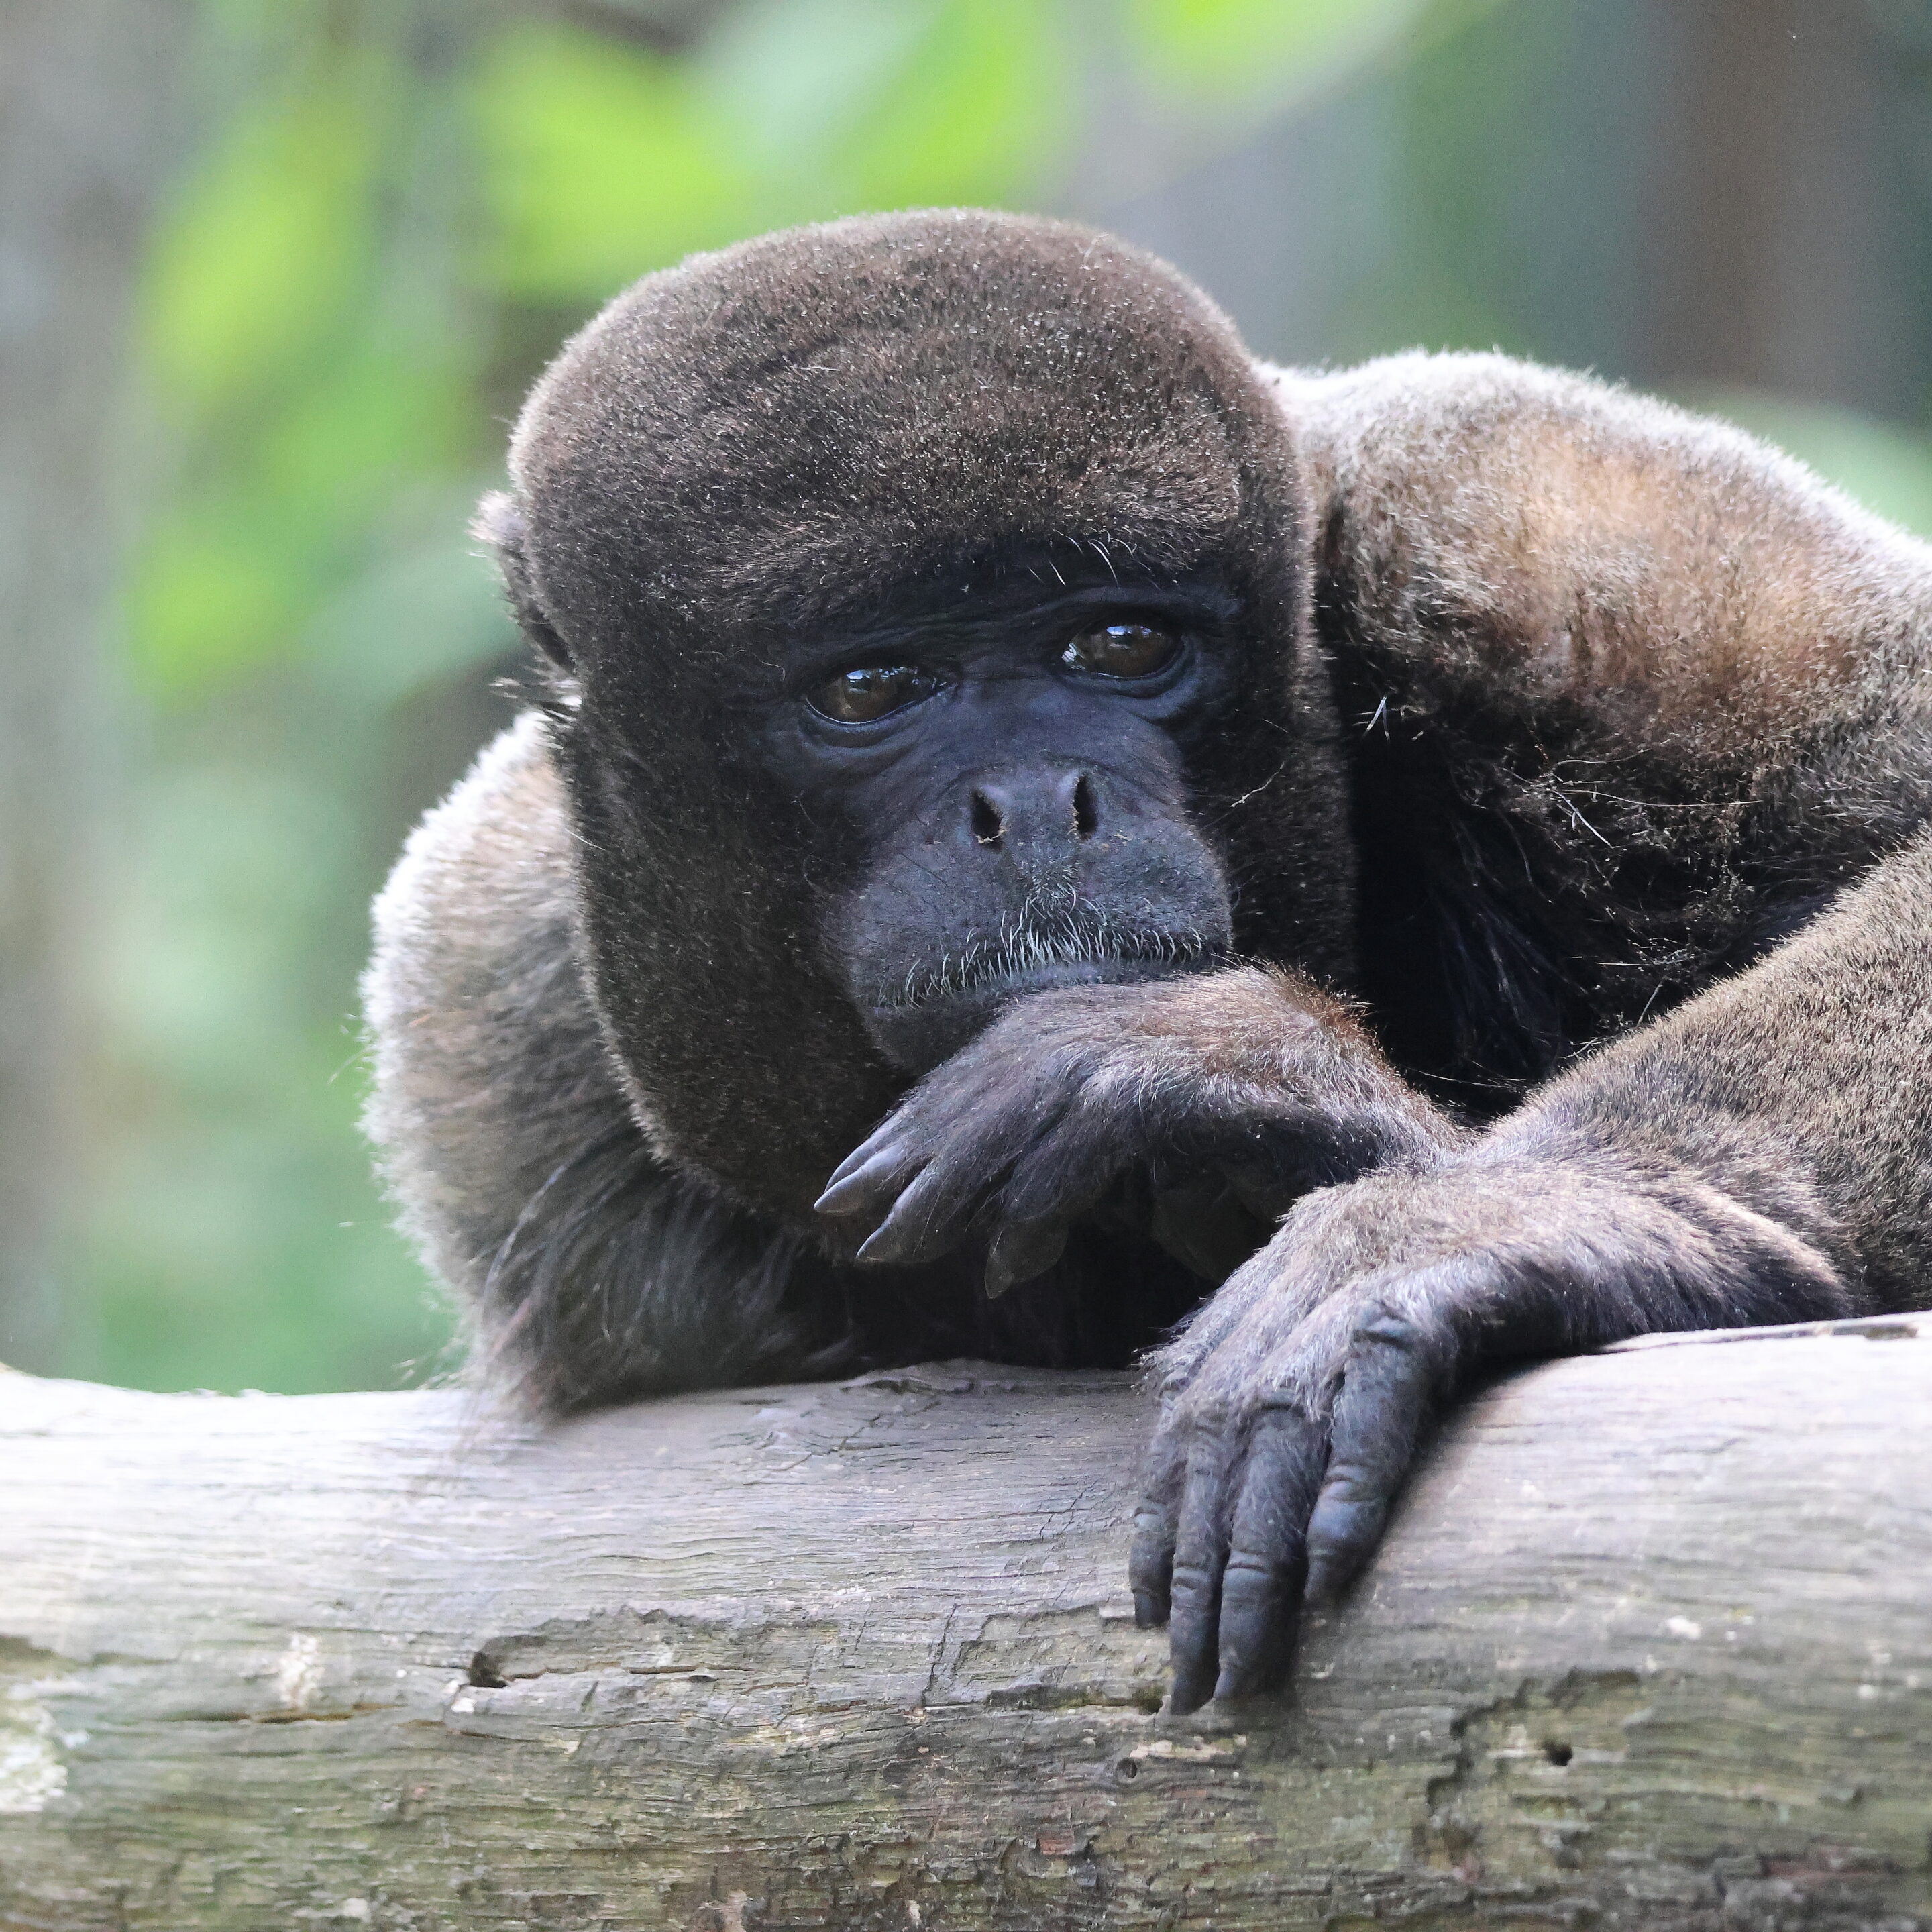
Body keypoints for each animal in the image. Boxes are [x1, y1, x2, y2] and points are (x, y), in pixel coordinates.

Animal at [363, 208, 1932, 1717]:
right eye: (870, 688)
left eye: (1120, 643)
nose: (1038, 802)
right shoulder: (488, 1038)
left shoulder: (1552, 543)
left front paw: (1524, 1204)